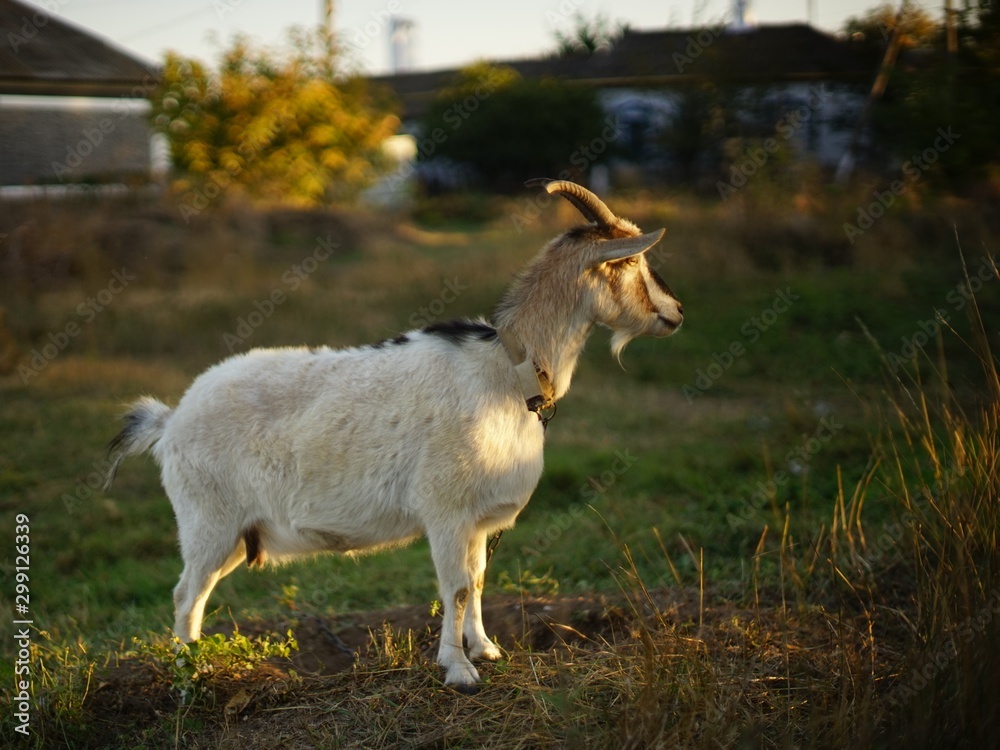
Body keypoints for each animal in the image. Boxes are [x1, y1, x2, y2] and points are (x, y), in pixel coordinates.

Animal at [105, 178, 684, 691]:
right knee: (186, 592)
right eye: (630, 262)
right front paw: (458, 671)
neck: (508, 369)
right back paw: (190, 671)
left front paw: (485, 649)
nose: (676, 313)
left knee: (194, 592)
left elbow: (476, 580)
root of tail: (170, 419)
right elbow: (455, 587)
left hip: (233, 530)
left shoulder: (474, 518)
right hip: (208, 519)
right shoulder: (445, 509)